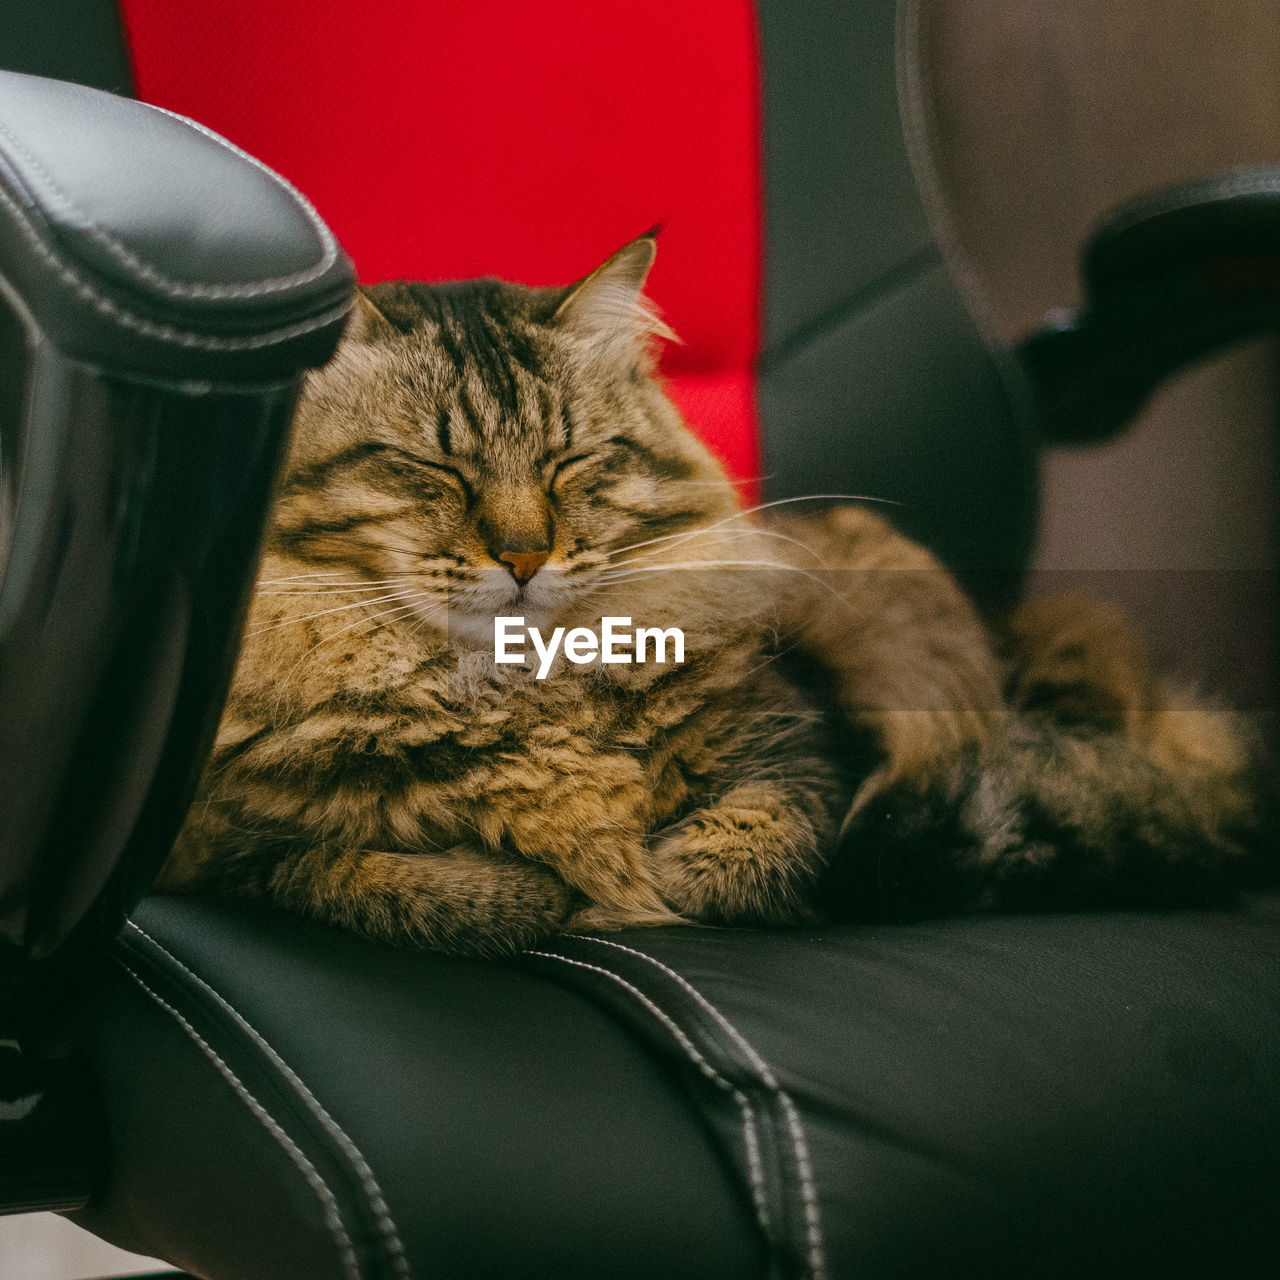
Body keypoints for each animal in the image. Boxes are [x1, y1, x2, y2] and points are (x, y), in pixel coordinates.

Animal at [157, 232, 1259, 952]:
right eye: (438, 472)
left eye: (567, 463)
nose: (523, 557)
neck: (527, 693)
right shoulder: (224, 848)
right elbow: (389, 881)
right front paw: (561, 886)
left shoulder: (802, 748)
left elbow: (747, 849)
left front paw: (651, 880)